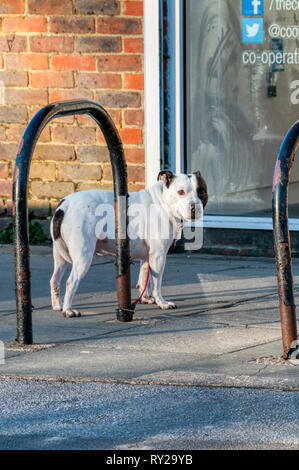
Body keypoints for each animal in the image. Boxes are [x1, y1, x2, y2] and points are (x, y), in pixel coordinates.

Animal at [49, 168, 209, 316]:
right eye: (181, 192)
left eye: (201, 191)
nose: (194, 207)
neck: (163, 202)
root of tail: (64, 206)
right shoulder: (158, 256)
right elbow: (156, 283)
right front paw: (161, 303)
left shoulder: (148, 257)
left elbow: (144, 278)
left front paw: (146, 298)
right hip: (83, 256)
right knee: (71, 282)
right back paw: (68, 310)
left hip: (60, 257)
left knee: (55, 280)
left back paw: (58, 305)